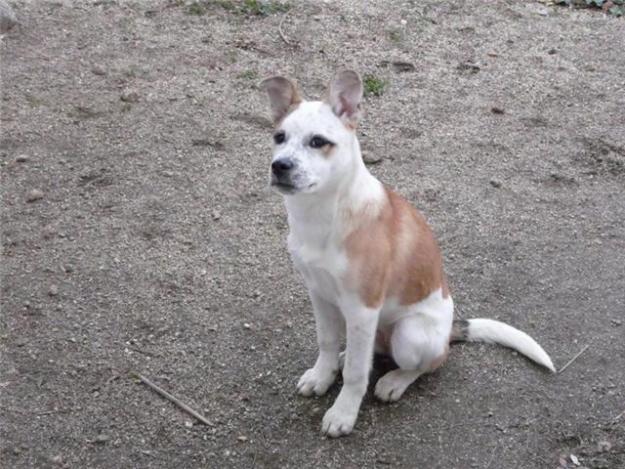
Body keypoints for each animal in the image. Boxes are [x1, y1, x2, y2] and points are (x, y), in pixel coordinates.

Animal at [258, 71, 556, 436]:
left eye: (318, 141)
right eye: (279, 137)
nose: (280, 166)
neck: (324, 214)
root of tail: (451, 331)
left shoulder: (362, 308)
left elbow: (356, 375)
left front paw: (343, 413)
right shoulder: (320, 294)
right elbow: (327, 343)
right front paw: (322, 375)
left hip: (409, 335)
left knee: (428, 363)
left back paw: (395, 381)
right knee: (366, 352)